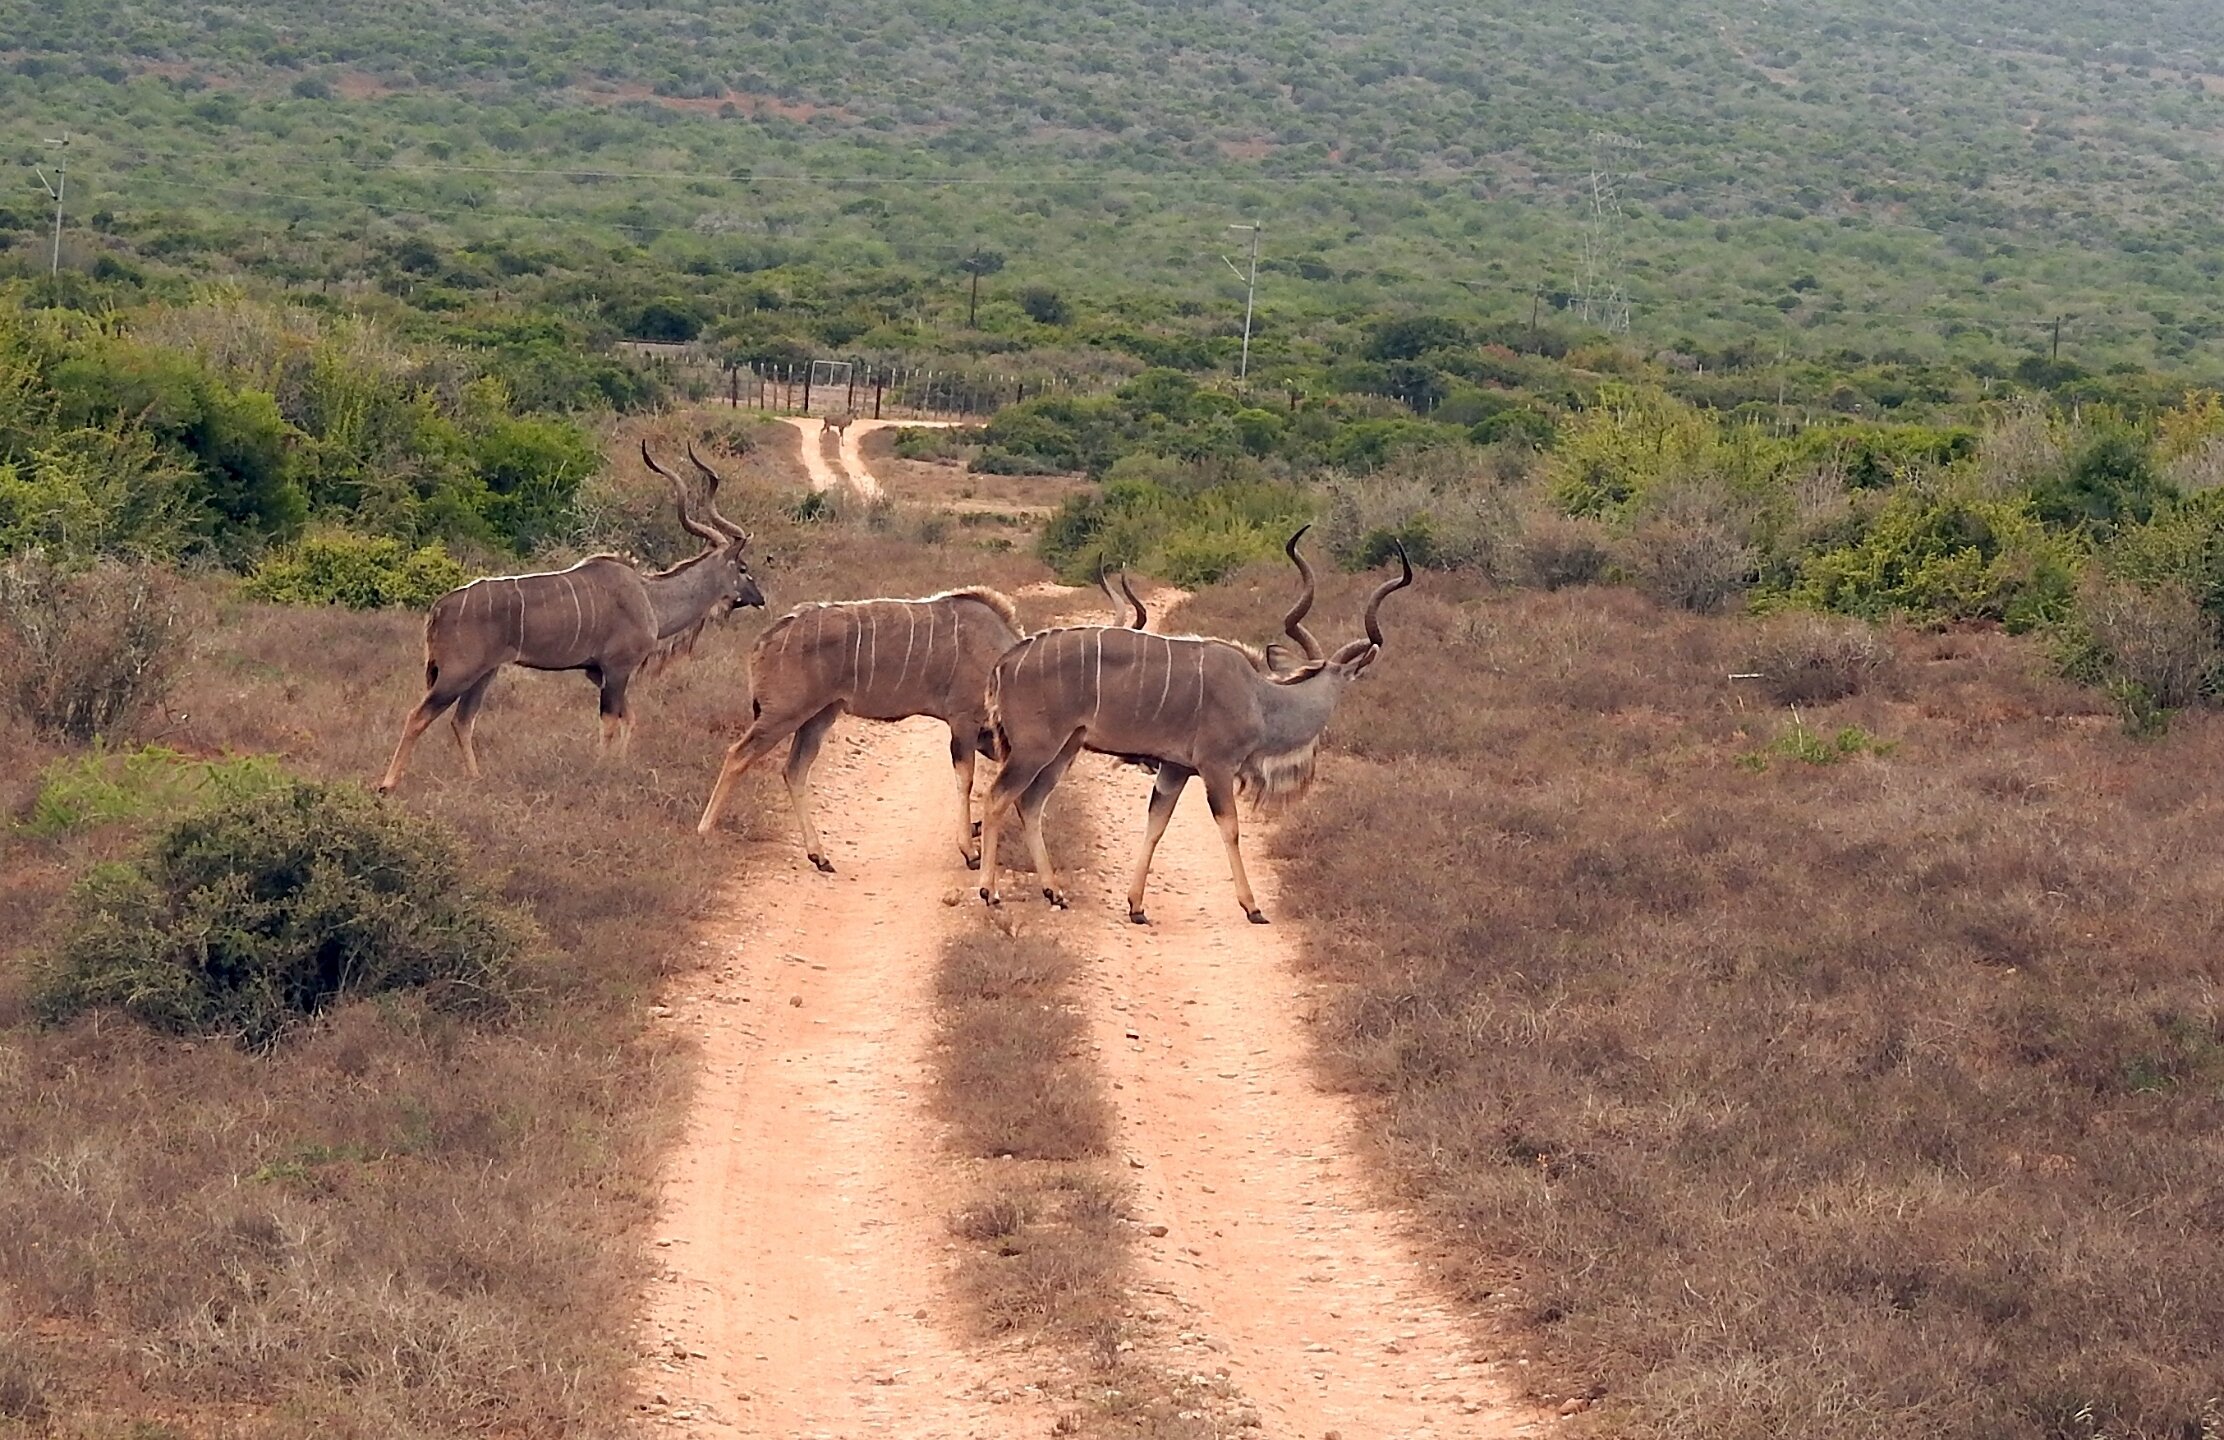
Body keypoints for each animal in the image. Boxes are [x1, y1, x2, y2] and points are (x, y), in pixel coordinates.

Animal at [376, 442, 764, 794]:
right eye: (743, 568)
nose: (760, 599)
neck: (650, 598)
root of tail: (439, 608)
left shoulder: (599, 673)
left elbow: (629, 718)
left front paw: (619, 765)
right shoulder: (616, 670)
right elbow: (611, 721)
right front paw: (601, 769)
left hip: (485, 673)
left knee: (462, 720)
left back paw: (475, 779)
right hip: (458, 673)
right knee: (419, 715)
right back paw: (387, 784)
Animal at [977, 527, 1411, 925]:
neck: (1261, 699)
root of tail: (1006, 661)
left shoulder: (1175, 769)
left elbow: (1156, 824)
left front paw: (1136, 906)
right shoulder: (1216, 768)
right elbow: (1230, 828)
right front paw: (1252, 907)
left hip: (1064, 748)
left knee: (1030, 803)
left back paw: (1055, 892)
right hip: (1035, 748)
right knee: (997, 797)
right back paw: (990, 892)